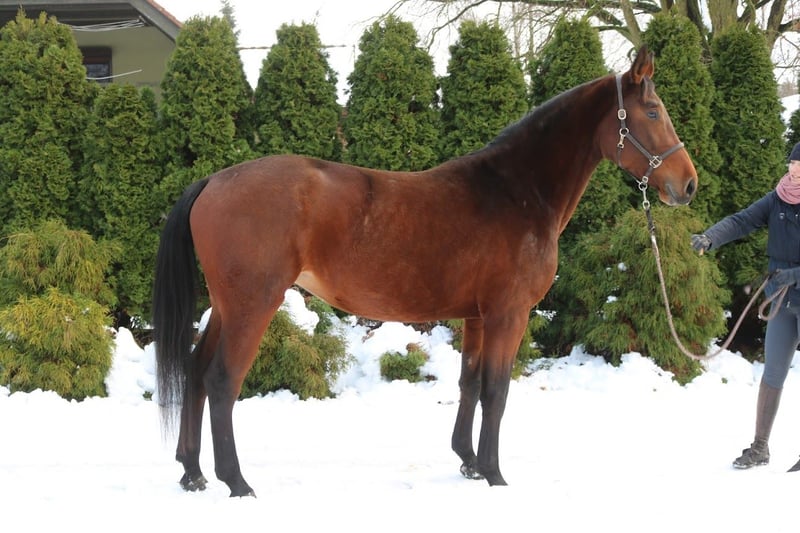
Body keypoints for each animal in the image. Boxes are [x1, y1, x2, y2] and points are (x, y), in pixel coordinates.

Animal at [152, 45, 697, 497]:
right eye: (653, 111)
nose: (688, 185)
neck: (517, 190)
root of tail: (214, 181)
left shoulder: (476, 316)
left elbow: (470, 383)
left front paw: (469, 463)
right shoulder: (508, 314)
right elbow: (497, 391)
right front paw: (495, 474)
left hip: (226, 306)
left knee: (195, 371)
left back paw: (192, 473)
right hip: (253, 304)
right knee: (222, 380)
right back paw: (236, 482)